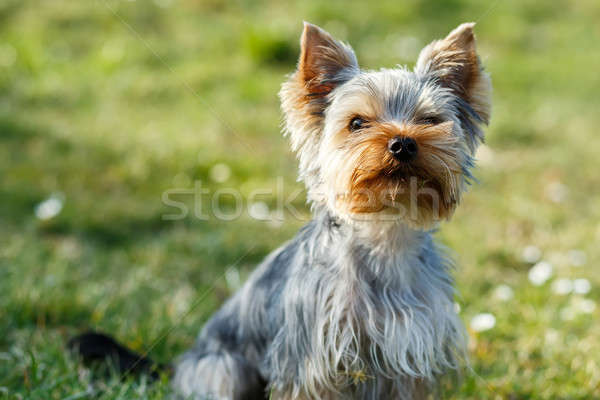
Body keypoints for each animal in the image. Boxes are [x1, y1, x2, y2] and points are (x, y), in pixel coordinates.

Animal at [72, 22, 490, 400]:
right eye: (357, 123)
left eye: (429, 120)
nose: (402, 143)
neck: (385, 233)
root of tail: (176, 365)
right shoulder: (312, 362)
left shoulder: (410, 356)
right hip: (223, 367)